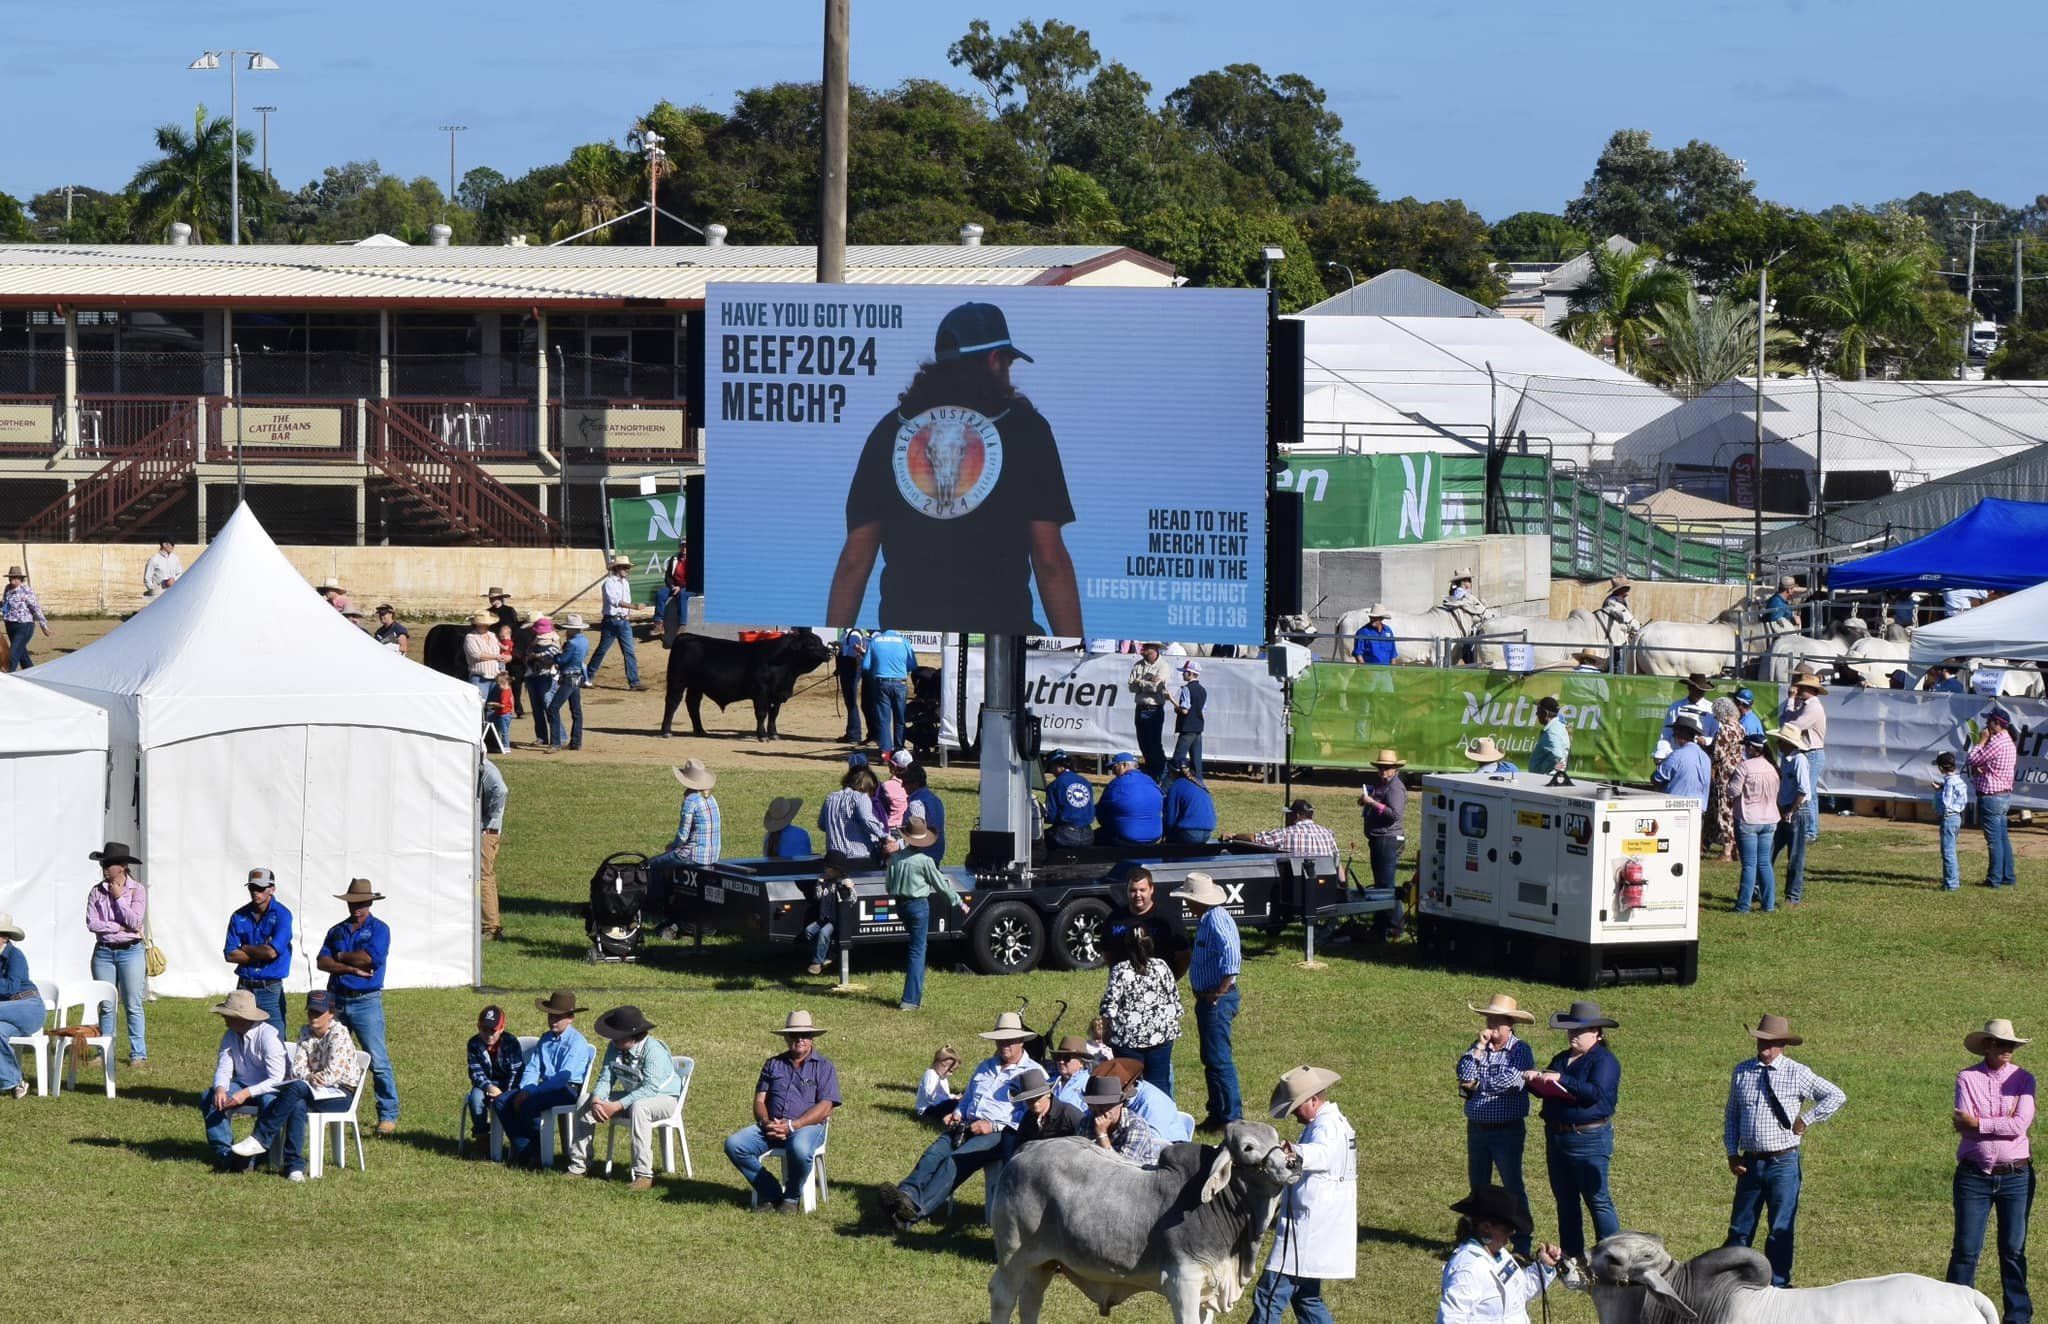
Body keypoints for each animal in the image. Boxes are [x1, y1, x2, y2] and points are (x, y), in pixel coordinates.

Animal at [667, 631, 835, 741]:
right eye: (810, 645)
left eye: (820, 642)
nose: (829, 653)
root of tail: (687, 636)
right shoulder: (761, 692)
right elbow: (761, 713)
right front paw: (762, 736)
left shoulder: (777, 694)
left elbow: (774, 714)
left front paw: (774, 734)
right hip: (677, 681)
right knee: (673, 703)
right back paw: (666, 732)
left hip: (696, 686)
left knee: (693, 705)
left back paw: (700, 731)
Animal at [987, 1123, 1294, 1324]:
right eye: (1248, 1147)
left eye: (1277, 1139)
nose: (1293, 1163)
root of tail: (1029, 1148)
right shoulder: (1183, 1282)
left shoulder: (1210, 1288)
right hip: (1014, 1254)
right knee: (1003, 1296)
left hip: (1044, 1261)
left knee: (1031, 1300)